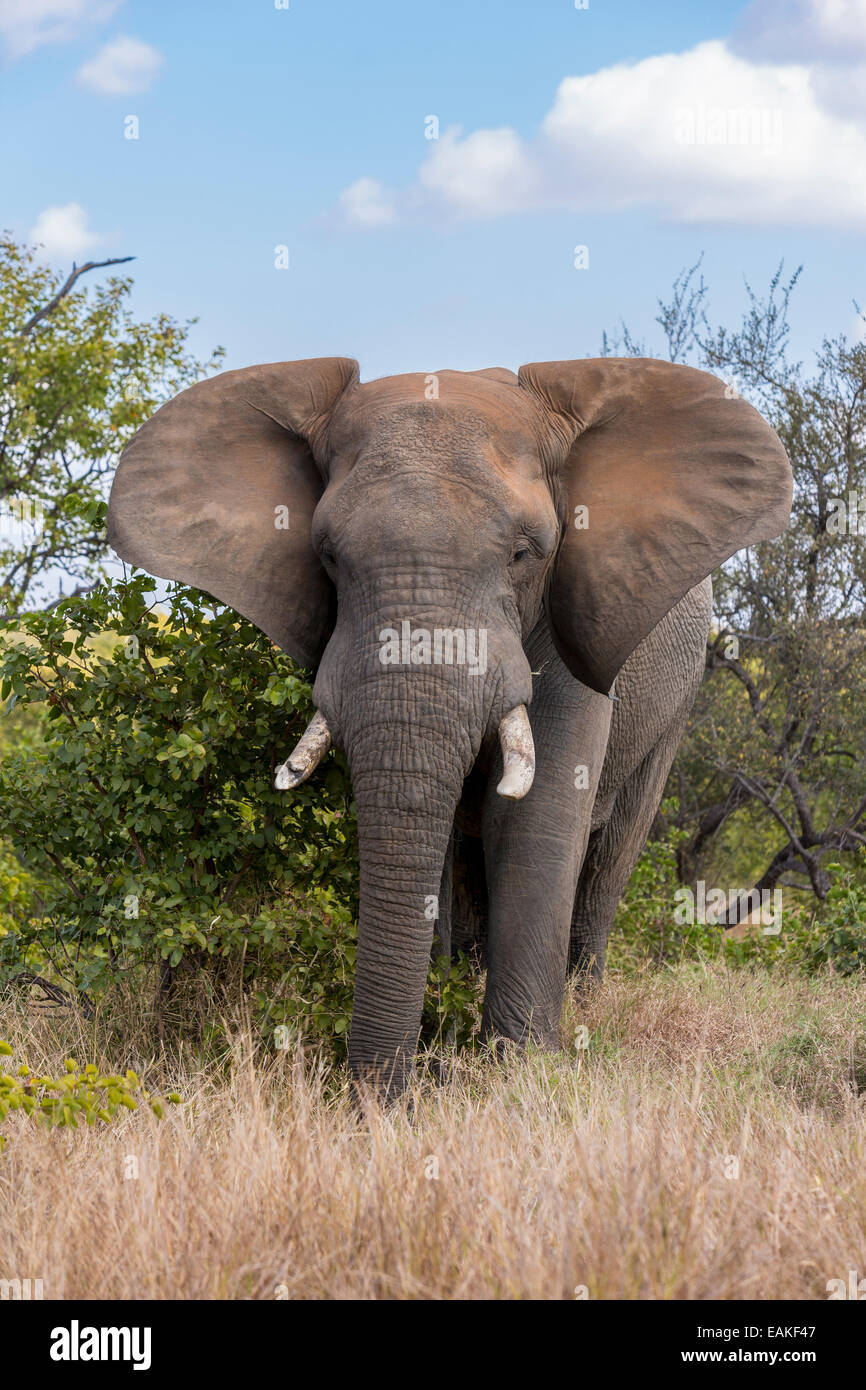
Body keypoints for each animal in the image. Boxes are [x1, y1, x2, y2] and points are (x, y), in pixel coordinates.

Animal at [107, 355, 795, 1095]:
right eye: (326, 555)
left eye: (526, 554)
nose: (379, 1106)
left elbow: (532, 815)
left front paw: (520, 1076)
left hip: (679, 696)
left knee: (610, 857)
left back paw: (585, 1005)